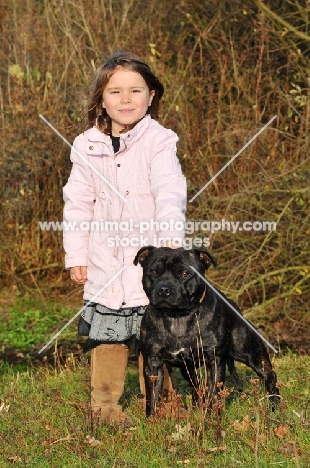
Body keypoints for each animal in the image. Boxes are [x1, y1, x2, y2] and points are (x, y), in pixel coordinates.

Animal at [134, 247, 280, 418]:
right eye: (153, 272)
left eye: (185, 273)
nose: (163, 290)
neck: (177, 317)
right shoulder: (153, 363)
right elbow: (152, 396)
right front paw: (152, 420)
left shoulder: (214, 360)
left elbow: (213, 393)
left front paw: (212, 418)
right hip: (187, 368)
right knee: (197, 385)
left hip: (252, 354)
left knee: (270, 377)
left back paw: (275, 408)